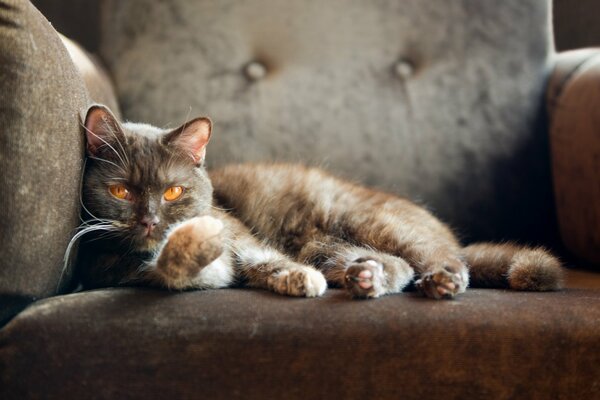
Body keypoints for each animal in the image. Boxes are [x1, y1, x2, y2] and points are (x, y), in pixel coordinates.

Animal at [72, 104, 564, 298]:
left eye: (173, 191)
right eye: (121, 191)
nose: (150, 220)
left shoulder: (244, 240)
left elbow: (264, 258)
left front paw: (299, 279)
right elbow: (180, 269)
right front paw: (190, 246)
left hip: (365, 222)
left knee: (439, 259)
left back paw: (439, 281)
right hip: (329, 245)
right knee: (396, 267)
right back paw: (366, 278)